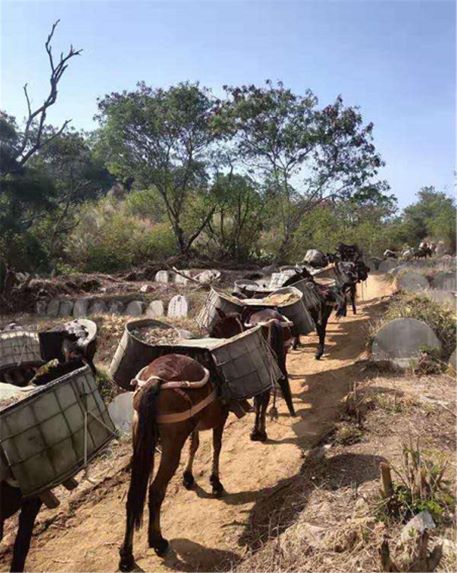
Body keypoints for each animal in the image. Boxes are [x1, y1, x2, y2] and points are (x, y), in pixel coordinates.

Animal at [119, 354, 229, 571]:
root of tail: (156, 380)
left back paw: (126, 556)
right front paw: (215, 483)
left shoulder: (195, 424)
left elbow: (194, 445)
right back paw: (157, 541)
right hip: (172, 445)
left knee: (134, 496)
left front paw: (188, 477)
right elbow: (216, 445)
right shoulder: (219, 417)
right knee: (155, 490)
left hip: (142, 439)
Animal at [209, 307, 296, 441]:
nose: (210, 336)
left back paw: (258, 432)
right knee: (280, 382)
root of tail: (272, 321)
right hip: (281, 355)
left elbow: (258, 399)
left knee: (263, 397)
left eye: (217, 326)